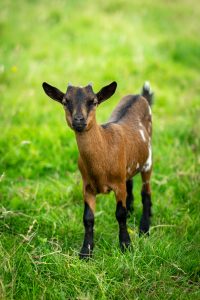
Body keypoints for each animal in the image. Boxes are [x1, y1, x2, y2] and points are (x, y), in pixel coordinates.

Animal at [42, 81, 153, 258]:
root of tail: (140, 96)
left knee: (146, 192)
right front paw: (85, 252)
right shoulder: (87, 186)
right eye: (65, 102)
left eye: (93, 101)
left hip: (148, 161)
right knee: (130, 182)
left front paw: (126, 246)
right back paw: (132, 210)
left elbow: (120, 214)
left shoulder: (118, 184)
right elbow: (88, 218)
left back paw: (144, 227)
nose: (78, 120)